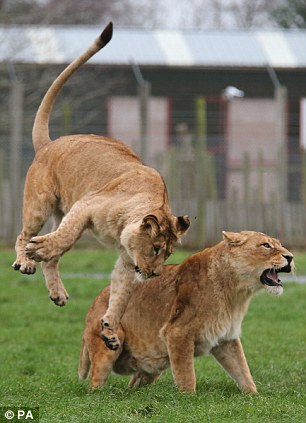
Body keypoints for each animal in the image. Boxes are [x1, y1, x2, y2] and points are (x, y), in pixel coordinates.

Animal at [79, 232, 294, 394]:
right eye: (266, 245)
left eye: (279, 244)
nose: (291, 257)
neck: (235, 292)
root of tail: (96, 299)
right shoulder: (177, 333)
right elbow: (186, 374)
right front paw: (189, 398)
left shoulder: (227, 339)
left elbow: (243, 370)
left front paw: (255, 397)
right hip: (107, 348)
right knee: (95, 384)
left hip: (151, 367)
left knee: (134, 384)